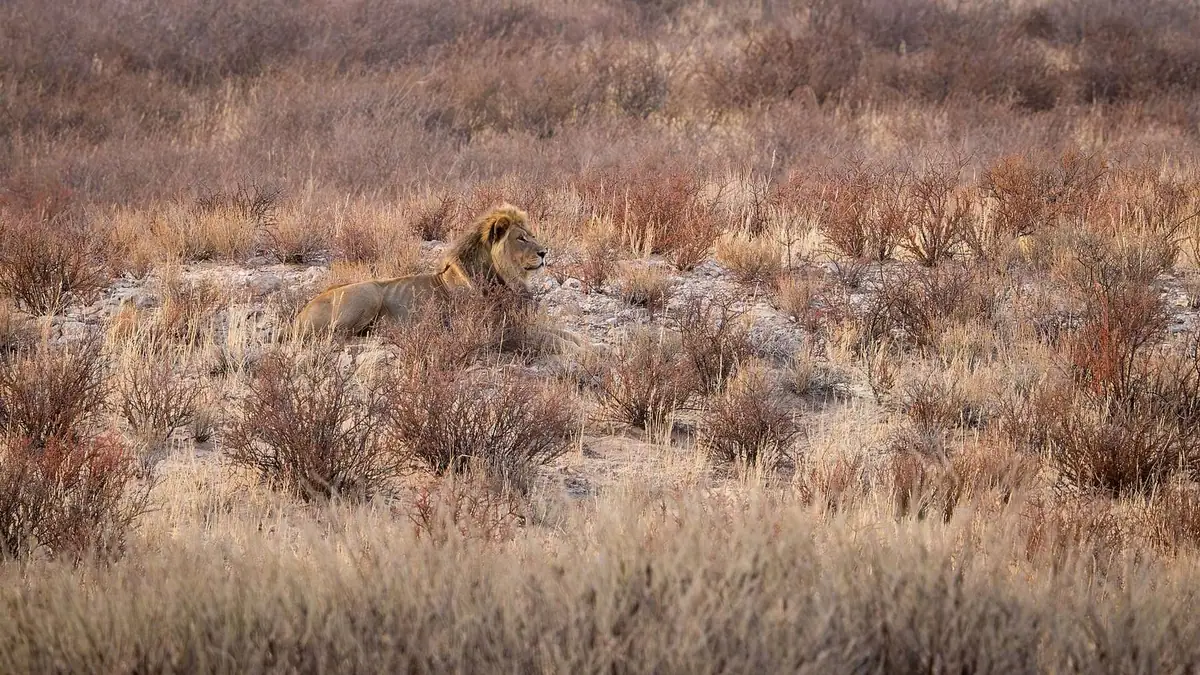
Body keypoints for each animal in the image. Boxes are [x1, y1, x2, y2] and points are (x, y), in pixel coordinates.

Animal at [294, 203, 585, 354]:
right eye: (521, 238)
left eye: (532, 235)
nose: (544, 252)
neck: (506, 278)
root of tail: (300, 314)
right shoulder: (503, 330)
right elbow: (553, 339)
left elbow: (568, 334)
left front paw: (591, 348)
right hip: (368, 292)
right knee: (338, 337)